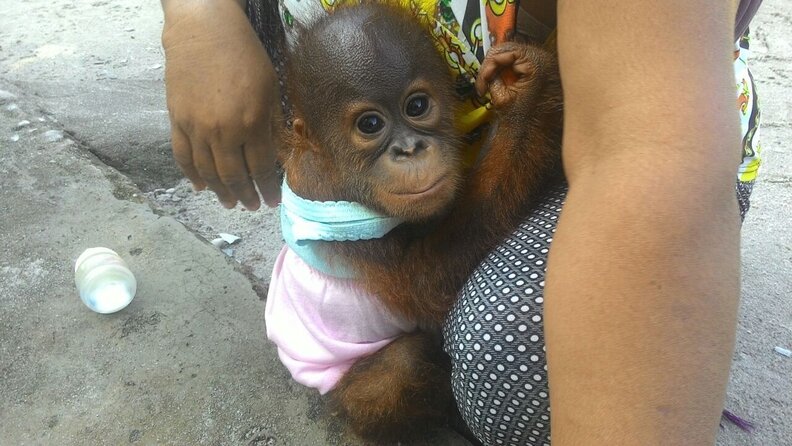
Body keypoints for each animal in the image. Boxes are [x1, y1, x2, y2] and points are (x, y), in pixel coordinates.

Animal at [264, 2, 563, 442]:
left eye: (417, 106)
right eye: (370, 124)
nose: (410, 149)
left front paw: (523, 75)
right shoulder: (337, 205)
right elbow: (425, 282)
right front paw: (528, 98)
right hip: (347, 394)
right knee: (401, 366)